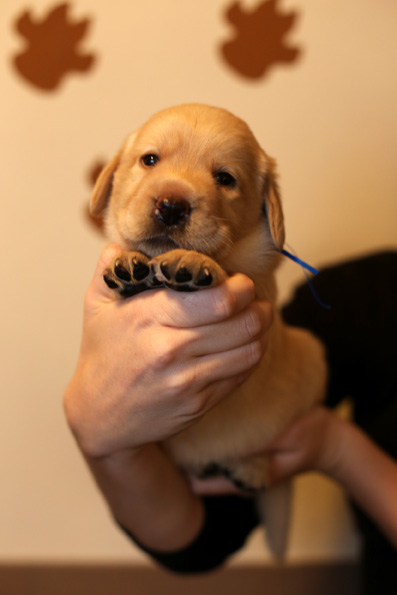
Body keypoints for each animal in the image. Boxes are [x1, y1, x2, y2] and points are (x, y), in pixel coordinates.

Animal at [91, 105, 326, 556]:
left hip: (310, 356)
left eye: (225, 178)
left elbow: (231, 267)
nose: (171, 206)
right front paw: (127, 265)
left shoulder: (259, 286)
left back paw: (251, 466)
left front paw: (196, 262)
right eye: (150, 160)